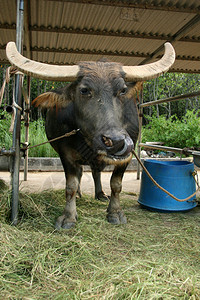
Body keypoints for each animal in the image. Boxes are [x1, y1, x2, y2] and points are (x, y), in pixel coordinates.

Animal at [6, 42, 175, 229]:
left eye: (123, 90)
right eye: (84, 90)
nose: (116, 142)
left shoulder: (128, 153)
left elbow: (116, 184)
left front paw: (115, 212)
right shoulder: (66, 153)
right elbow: (71, 185)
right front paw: (68, 217)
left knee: (95, 172)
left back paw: (100, 194)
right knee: (81, 173)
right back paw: (81, 194)